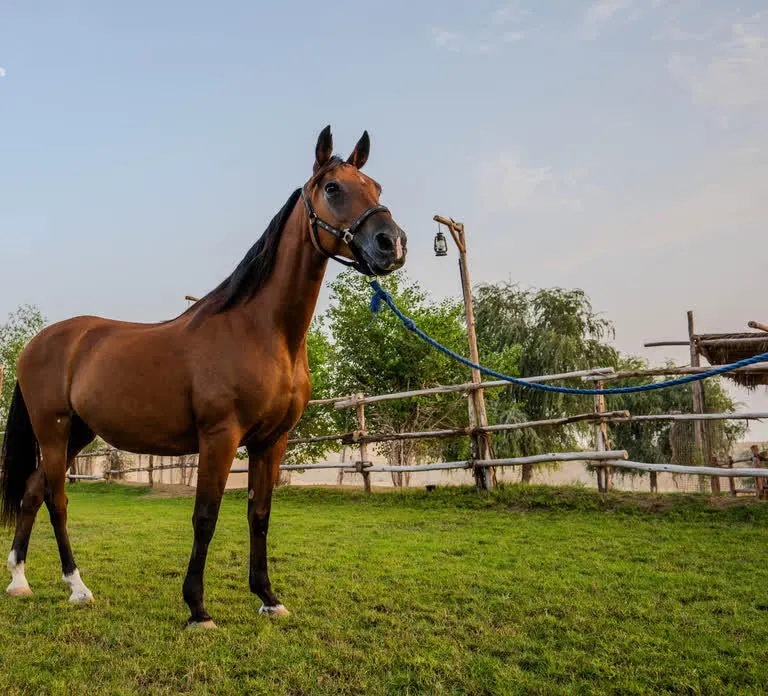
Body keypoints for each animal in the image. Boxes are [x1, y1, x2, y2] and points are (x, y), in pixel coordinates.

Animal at [0, 126, 407, 628]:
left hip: (78, 432)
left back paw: (20, 580)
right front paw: (197, 607)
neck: (260, 330)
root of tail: (37, 343)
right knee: (56, 498)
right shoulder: (220, 437)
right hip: (54, 431)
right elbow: (205, 517)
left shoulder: (271, 442)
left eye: (377, 188)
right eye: (333, 188)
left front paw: (268, 597)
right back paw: (77, 587)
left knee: (33, 491)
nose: (392, 243)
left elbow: (259, 515)